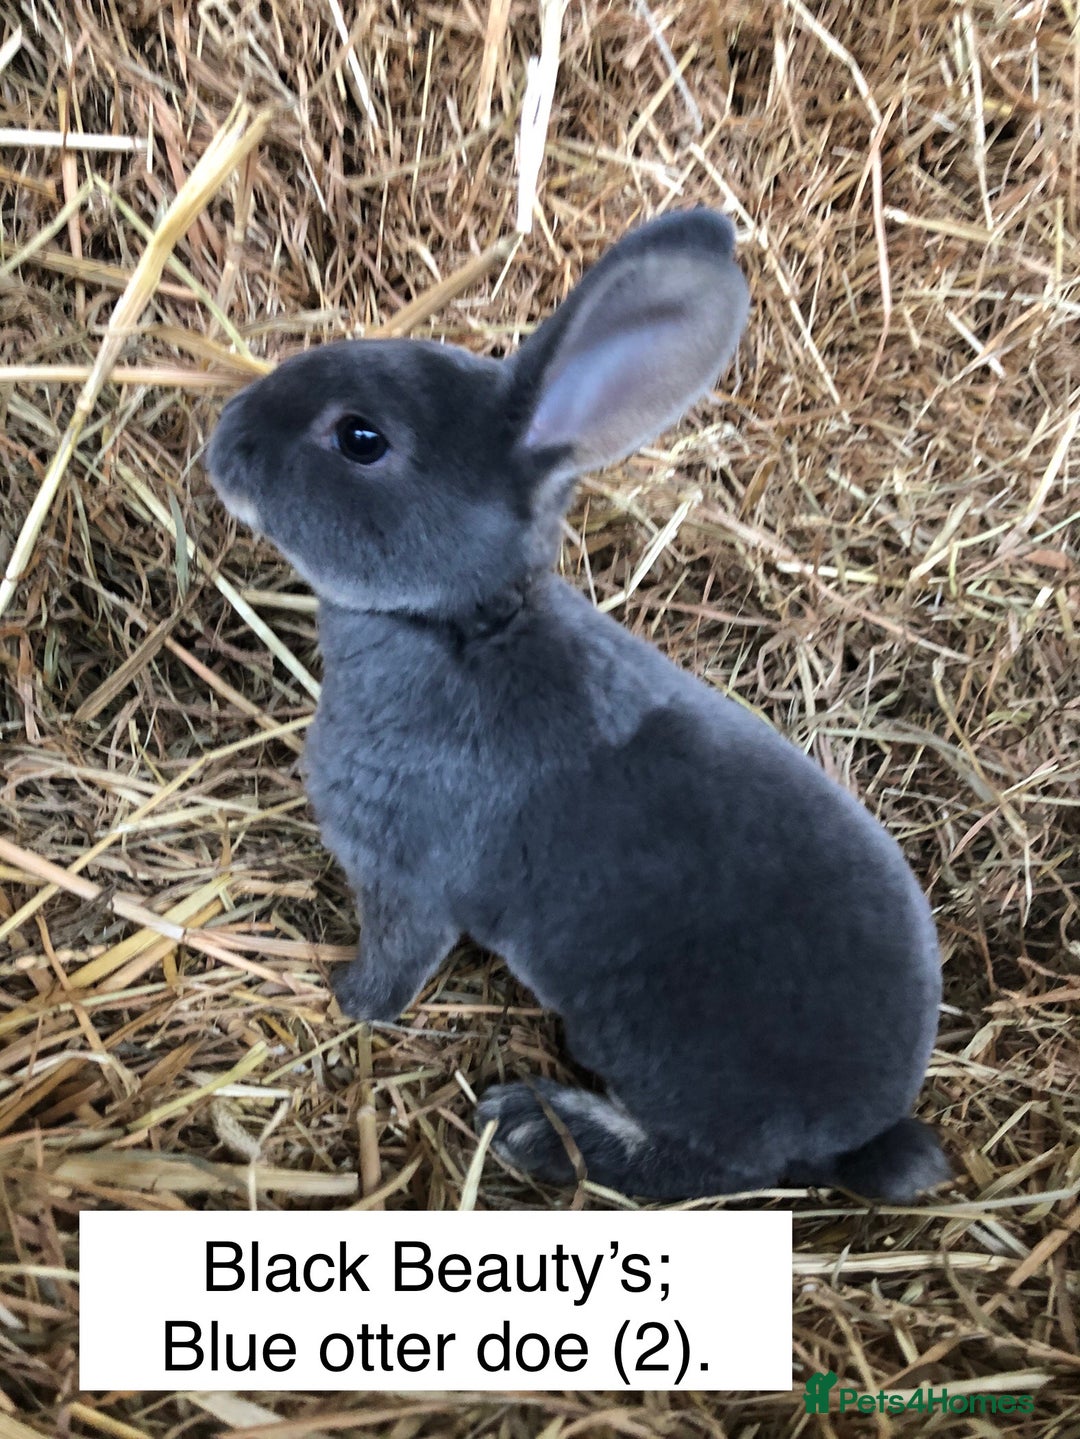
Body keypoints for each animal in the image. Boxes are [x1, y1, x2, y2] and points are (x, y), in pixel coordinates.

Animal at [207, 209, 950, 1203]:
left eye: (360, 438)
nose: (225, 440)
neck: (463, 623)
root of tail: (871, 1127)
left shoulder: (406, 874)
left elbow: (397, 958)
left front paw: (349, 1001)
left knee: (698, 1168)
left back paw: (535, 1124)